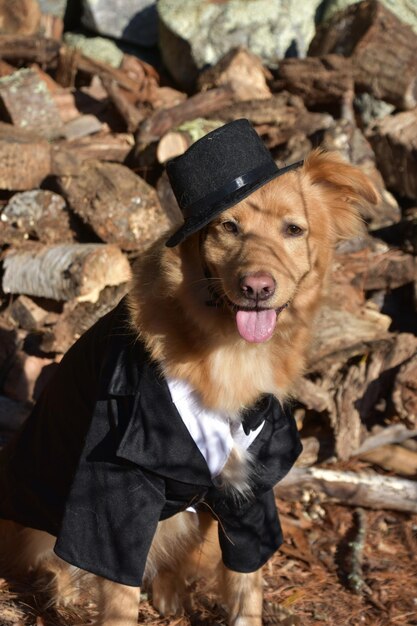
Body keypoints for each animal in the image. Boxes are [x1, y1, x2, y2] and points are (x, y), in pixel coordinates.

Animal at [0, 118, 376, 624]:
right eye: (228, 227)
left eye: (294, 229)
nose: (257, 287)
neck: (227, 351)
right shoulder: (116, 481)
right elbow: (117, 589)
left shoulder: (249, 483)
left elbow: (246, 582)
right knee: (52, 562)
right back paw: (64, 591)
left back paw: (170, 590)